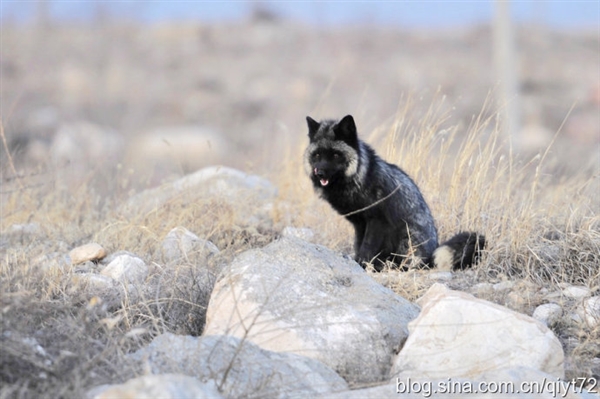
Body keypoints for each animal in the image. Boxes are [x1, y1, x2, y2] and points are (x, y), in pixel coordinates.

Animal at [302, 115, 486, 272]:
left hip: (406, 237)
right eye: (317, 155)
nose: (320, 173)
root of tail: (429, 260)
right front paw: (360, 263)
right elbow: (358, 245)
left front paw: (362, 264)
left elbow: (366, 248)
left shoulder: (376, 221)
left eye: (335, 155)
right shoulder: (359, 223)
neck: (360, 177)